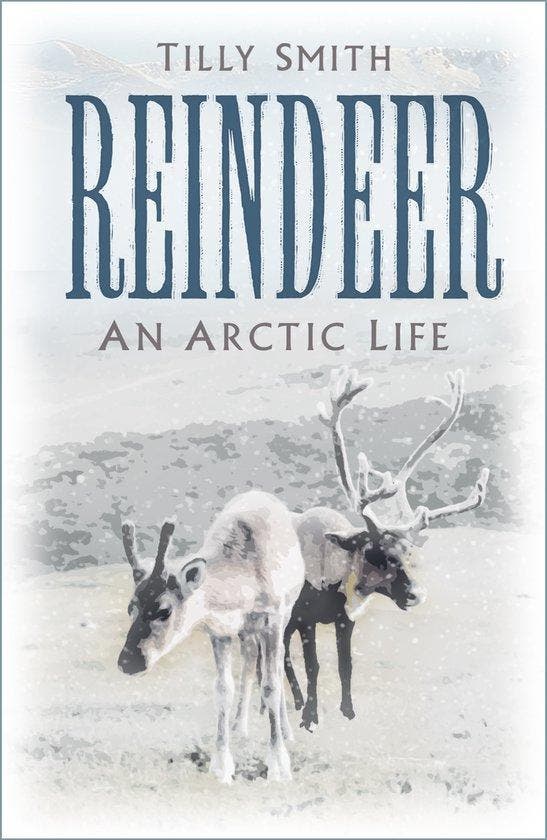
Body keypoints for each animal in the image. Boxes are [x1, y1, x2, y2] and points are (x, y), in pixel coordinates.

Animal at [117, 490, 305, 783]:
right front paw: (222, 766)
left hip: (285, 614)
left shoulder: (272, 619)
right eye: (130, 607)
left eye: (164, 610)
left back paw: (286, 731)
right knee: (250, 657)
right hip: (246, 632)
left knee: (276, 663)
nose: (128, 662)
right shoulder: (219, 631)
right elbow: (223, 689)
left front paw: (278, 765)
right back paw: (240, 727)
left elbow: (271, 685)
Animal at [282, 367, 490, 730]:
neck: (334, 581)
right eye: (375, 553)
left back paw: (293, 700)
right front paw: (311, 717)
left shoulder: (345, 620)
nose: (417, 594)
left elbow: (345, 666)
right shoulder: (306, 618)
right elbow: (314, 666)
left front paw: (348, 712)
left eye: (409, 553)